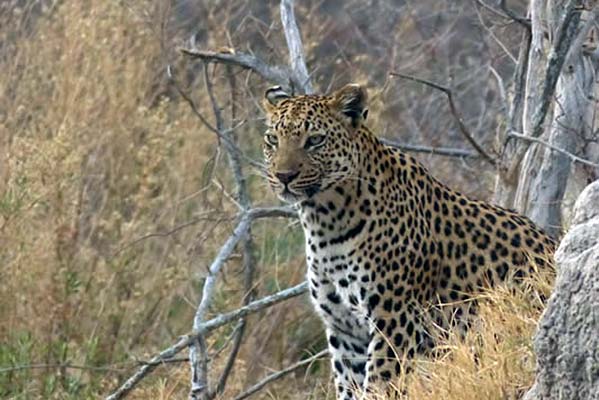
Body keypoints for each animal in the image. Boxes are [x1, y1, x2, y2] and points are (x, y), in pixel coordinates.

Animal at [262, 83, 556, 398]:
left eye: (315, 140)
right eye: (272, 140)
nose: (284, 176)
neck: (325, 222)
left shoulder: (396, 321)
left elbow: (379, 384)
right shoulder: (345, 331)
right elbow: (349, 386)